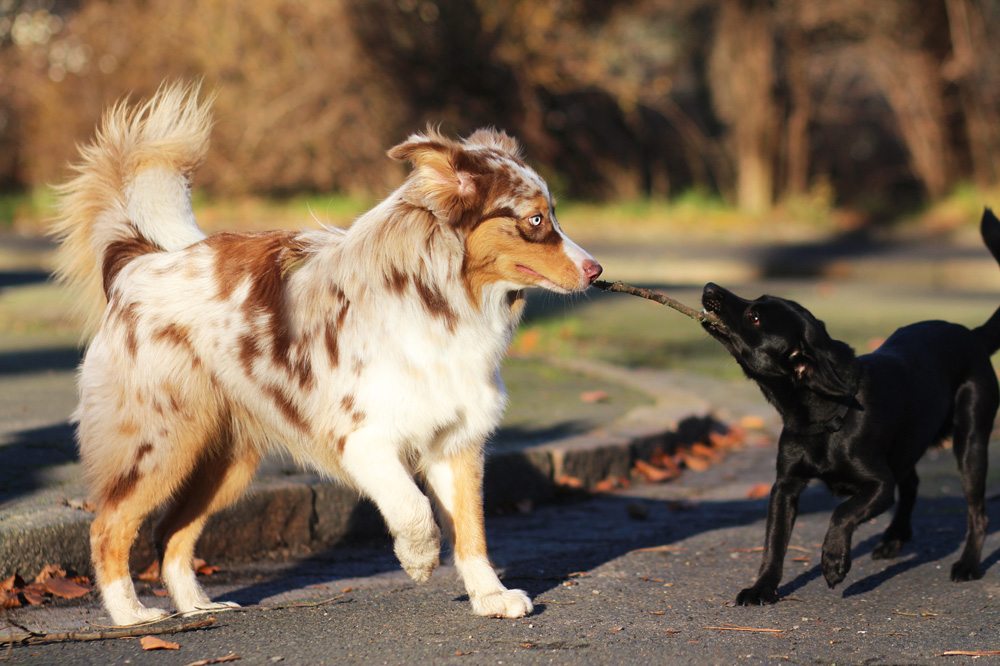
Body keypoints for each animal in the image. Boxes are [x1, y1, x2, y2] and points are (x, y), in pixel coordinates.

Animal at [52, 83, 600, 624]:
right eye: (535, 219)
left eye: (554, 215)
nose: (595, 269)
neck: (441, 297)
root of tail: (139, 263)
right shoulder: (362, 437)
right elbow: (414, 508)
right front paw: (418, 558)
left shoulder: (455, 441)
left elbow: (472, 530)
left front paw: (490, 597)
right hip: (161, 441)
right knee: (108, 526)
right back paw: (130, 615)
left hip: (225, 460)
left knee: (172, 532)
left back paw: (197, 605)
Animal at [704, 210, 1000, 604]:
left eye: (754, 317)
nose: (708, 288)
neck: (820, 415)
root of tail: (973, 335)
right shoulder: (785, 487)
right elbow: (774, 542)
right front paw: (762, 587)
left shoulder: (878, 485)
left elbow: (842, 512)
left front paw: (833, 561)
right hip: (908, 444)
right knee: (913, 483)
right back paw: (893, 539)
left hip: (970, 442)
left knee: (977, 512)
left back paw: (967, 564)